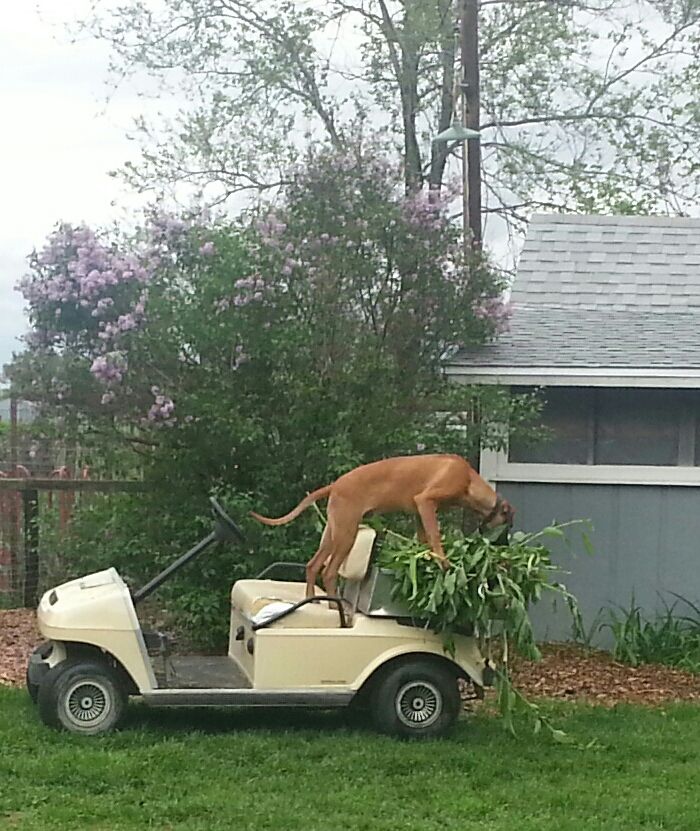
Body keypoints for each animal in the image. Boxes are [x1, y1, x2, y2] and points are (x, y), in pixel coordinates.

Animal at [251, 454, 514, 598]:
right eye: (507, 526)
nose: (505, 547)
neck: (469, 479)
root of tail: (336, 484)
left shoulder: (420, 512)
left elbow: (424, 539)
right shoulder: (426, 501)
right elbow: (435, 536)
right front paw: (442, 560)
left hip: (332, 533)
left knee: (313, 566)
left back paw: (313, 600)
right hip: (347, 534)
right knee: (329, 572)